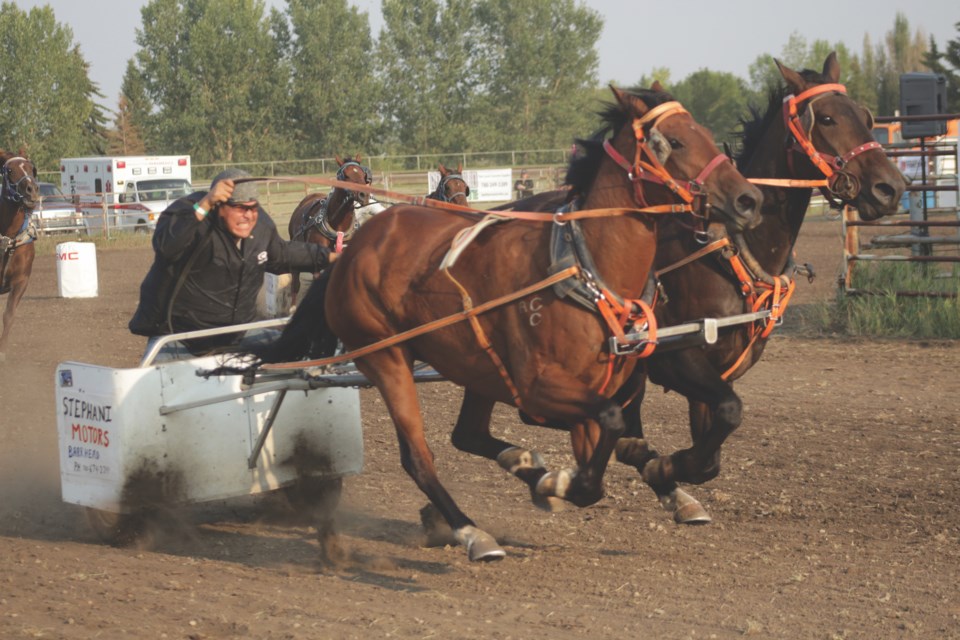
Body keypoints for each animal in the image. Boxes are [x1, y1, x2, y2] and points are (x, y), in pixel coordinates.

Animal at [608, 53, 908, 524]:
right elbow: (715, 424)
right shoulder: (676, 360)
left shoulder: (719, 374)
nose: (890, 188)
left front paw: (676, 482)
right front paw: (664, 470)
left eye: (865, 117)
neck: (729, 250)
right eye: (826, 118)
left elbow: (711, 450)